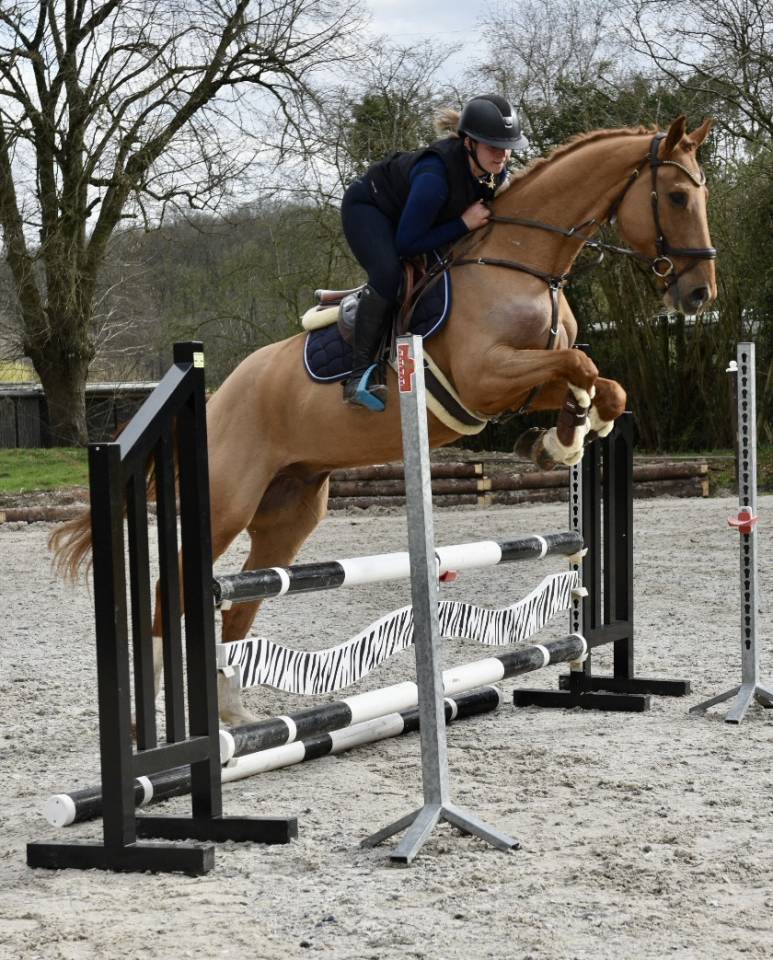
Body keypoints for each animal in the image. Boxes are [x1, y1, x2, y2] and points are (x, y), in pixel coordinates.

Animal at [52, 115, 716, 724]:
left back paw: (234, 714)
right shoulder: (485, 378)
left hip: (288, 516)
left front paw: (564, 439)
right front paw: (564, 440)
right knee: (176, 593)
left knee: (239, 604)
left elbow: (604, 384)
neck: (522, 264)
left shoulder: (523, 381)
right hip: (225, 505)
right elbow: (580, 363)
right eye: (677, 197)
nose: (699, 294)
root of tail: (217, 395)